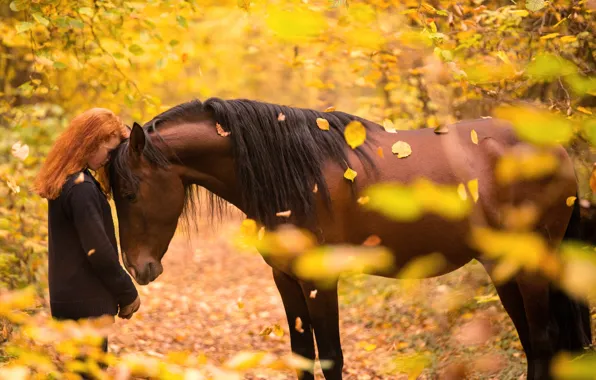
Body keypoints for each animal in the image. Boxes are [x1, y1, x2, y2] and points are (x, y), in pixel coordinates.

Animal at [107, 98, 592, 380]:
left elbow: (330, 357)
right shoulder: (286, 280)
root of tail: (557, 149)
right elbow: (303, 355)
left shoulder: (320, 280)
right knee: (535, 345)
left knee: (544, 341)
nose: (138, 269)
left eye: (128, 193)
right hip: (502, 266)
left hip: (531, 266)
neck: (294, 174)